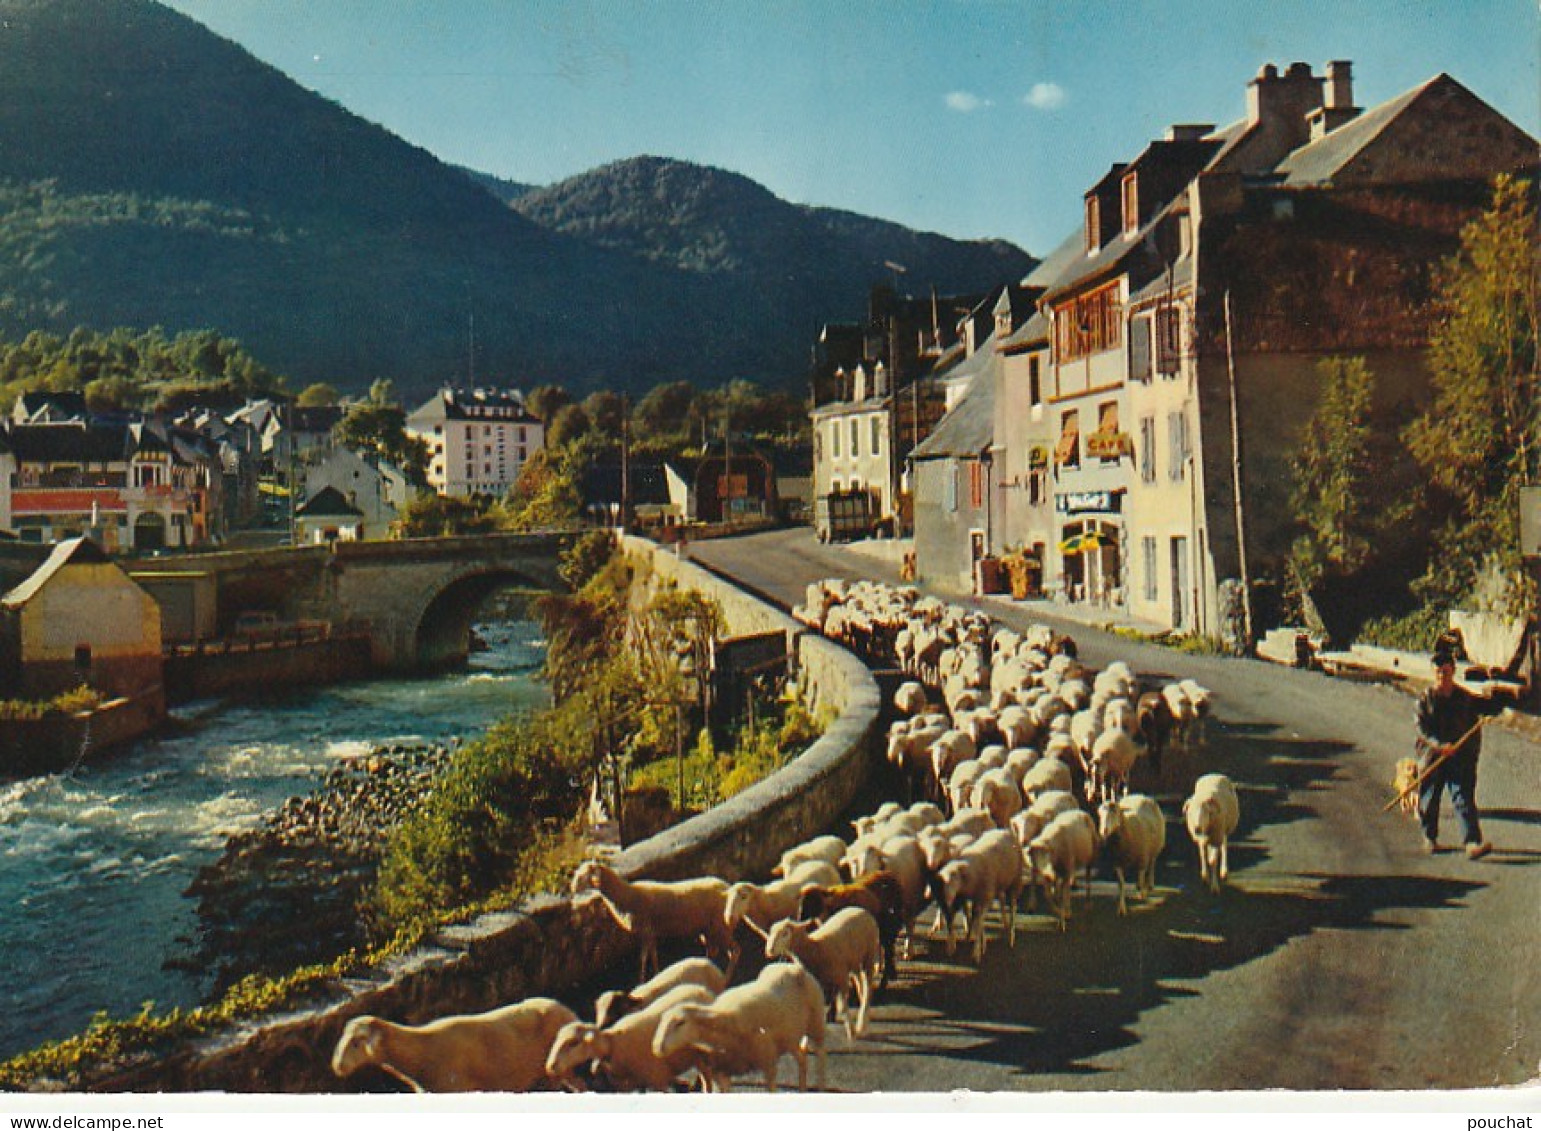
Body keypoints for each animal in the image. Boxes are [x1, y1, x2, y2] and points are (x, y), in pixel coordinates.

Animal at [653, 961, 832, 1097]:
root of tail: (791, 966)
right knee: (802, 1058)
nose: (656, 1047)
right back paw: (802, 1090)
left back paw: (821, 1087)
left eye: (680, 1023)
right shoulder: (723, 1071)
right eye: (661, 1021)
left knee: (821, 1054)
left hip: (816, 1024)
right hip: (790, 1036)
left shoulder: (768, 1063)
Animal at [761, 906, 881, 1041]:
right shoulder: (820, 983)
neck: (816, 948)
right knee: (860, 982)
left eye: (785, 933)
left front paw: (851, 1032)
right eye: (771, 932)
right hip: (854, 961)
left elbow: (842, 1008)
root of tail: (859, 909)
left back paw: (862, 1024)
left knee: (868, 987)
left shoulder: (841, 978)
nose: (769, 950)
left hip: (869, 955)